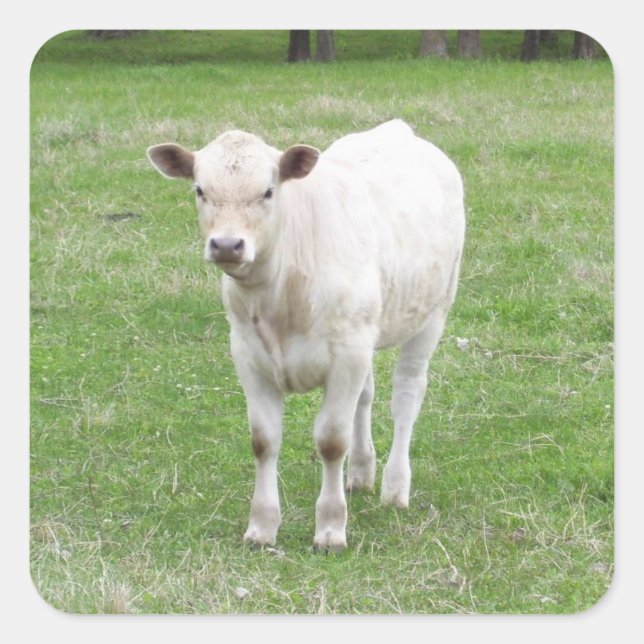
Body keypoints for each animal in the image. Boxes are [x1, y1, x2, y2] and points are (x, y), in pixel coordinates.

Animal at [147, 119, 465, 552]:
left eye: (268, 190)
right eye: (200, 189)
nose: (227, 244)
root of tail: (397, 129)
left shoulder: (346, 355)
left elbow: (331, 440)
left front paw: (330, 528)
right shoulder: (249, 356)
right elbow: (263, 440)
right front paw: (262, 527)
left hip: (433, 311)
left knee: (406, 396)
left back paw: (395, 487)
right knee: (366, 397)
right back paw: (361, 473)